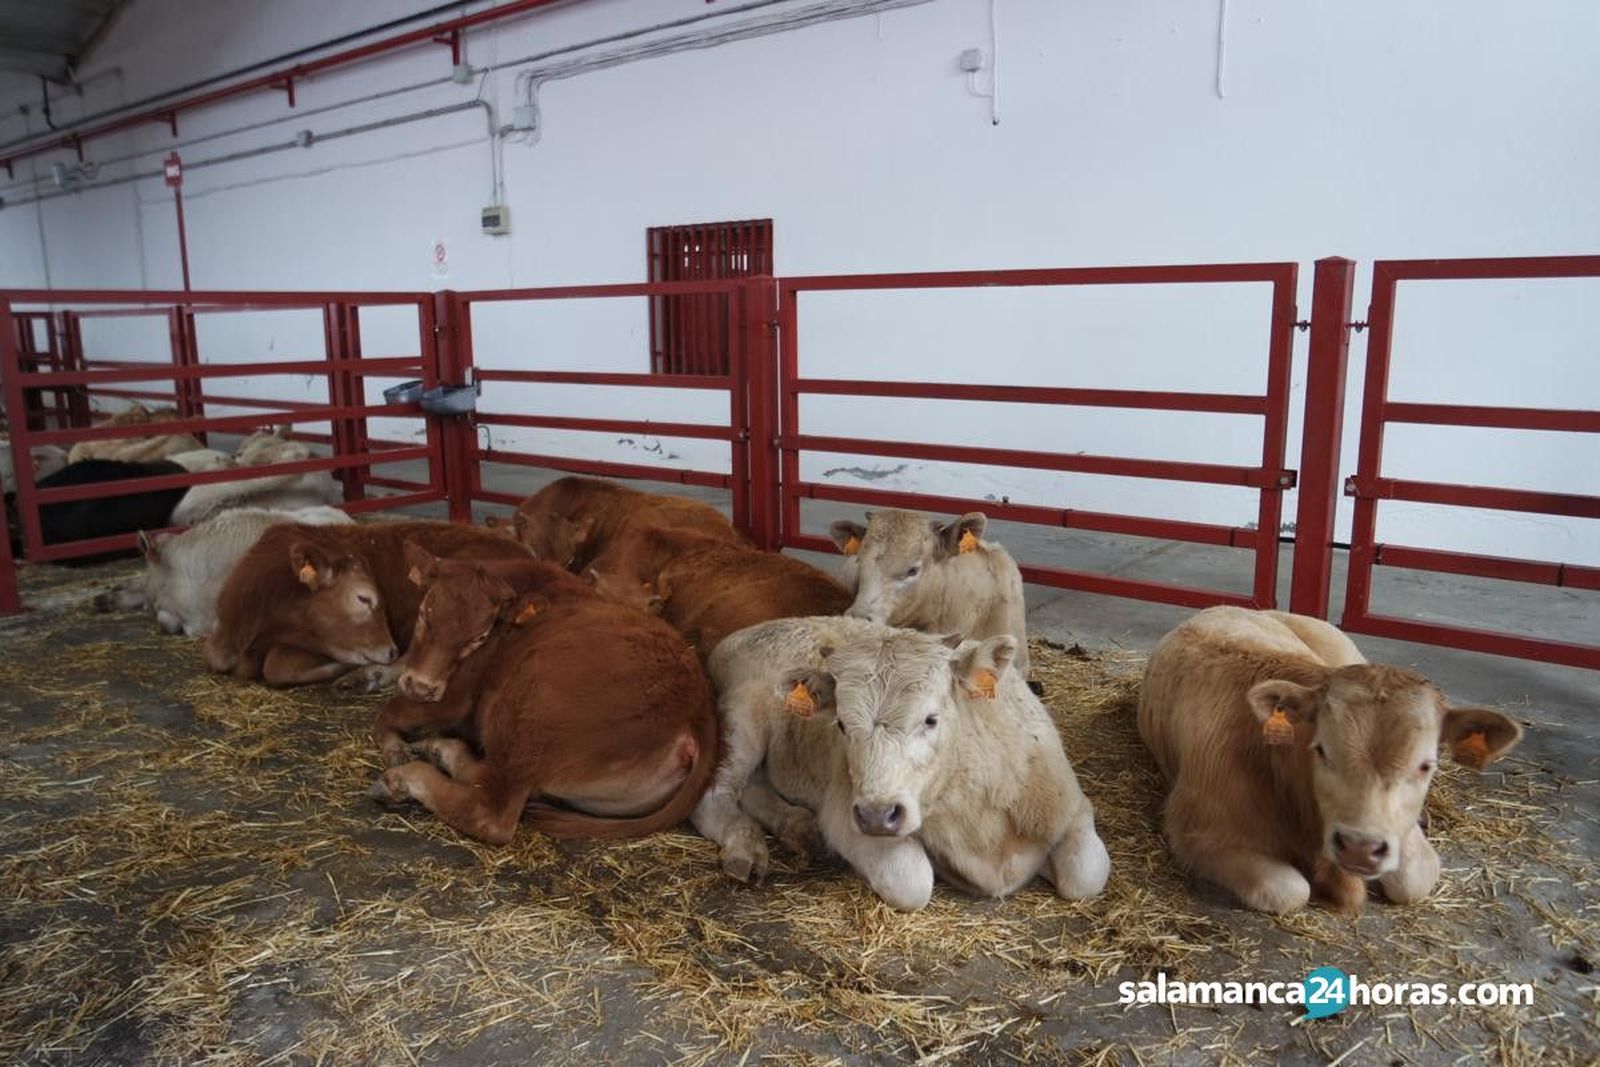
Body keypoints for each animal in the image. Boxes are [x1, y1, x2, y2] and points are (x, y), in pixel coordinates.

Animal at [368, 550, 719, 844]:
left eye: (479, 637)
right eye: (425, 612)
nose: (420, 686)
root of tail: (698, 712)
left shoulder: (457, 698)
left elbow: (389, 712)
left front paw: (395, 749)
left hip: (527, 714)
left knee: (491, 811)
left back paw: (403, 778)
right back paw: (439, 749)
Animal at [693, 616, 1110, 911]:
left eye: (931, 719)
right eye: (841, 724)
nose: (878, 815)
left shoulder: (1072, 806)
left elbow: (1085, 876)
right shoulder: (844, 815)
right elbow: (912, 882)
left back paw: (797, 826)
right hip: (742, 719)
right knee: (715, 797)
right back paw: (747, 847)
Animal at [1136, 606, 1524, 914]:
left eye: (1425, 765)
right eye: (1321, 750)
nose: (1360, 848)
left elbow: (1413, 881)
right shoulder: (1194, 832)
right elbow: (1290, 890)